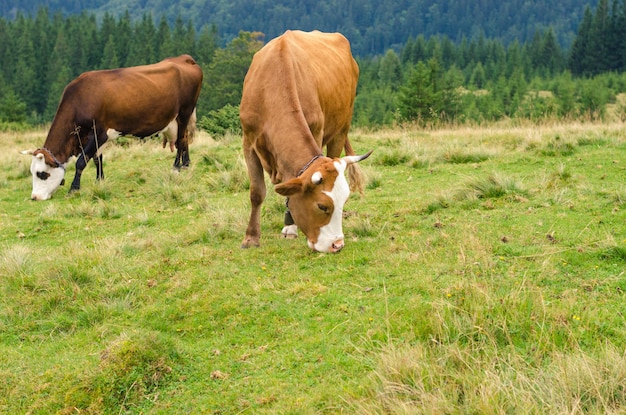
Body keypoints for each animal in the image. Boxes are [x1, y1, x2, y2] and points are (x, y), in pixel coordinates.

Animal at [22, 54, 201, 202]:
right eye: (32, 172)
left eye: (42, 174)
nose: (34, 197)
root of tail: (184, 58)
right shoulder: (92, 137)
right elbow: (97, 159)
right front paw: (99, 181)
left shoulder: (99, 133)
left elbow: (81, 162)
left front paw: (74, 189)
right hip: (177, 120)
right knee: (184, 139)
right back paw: (186, 164)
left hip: (185, 112)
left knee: (181, 140)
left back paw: (177, 168)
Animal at [236, 30, 368, 254]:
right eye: (322, 206)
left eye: (344, 201)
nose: (337, 245)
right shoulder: (249, 142)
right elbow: (256, 192)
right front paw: (251, 238)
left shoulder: (316, 131)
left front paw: (290, 226)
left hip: (340, 131)